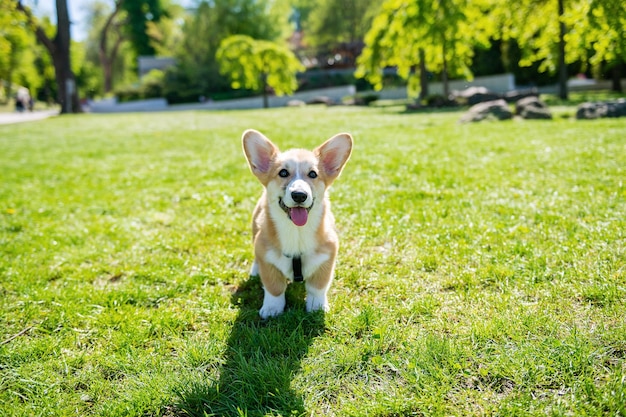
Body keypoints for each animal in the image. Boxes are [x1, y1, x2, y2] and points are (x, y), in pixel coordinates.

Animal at [241, 128, 352, 316]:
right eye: (283, 173)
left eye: (313, 174)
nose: (299, 195)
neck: (297, 233)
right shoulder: (267, 259)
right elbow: (274, 288)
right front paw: (271, 310)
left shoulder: (326, 259)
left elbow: (317, 288)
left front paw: (317, 308)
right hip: (255, 230)